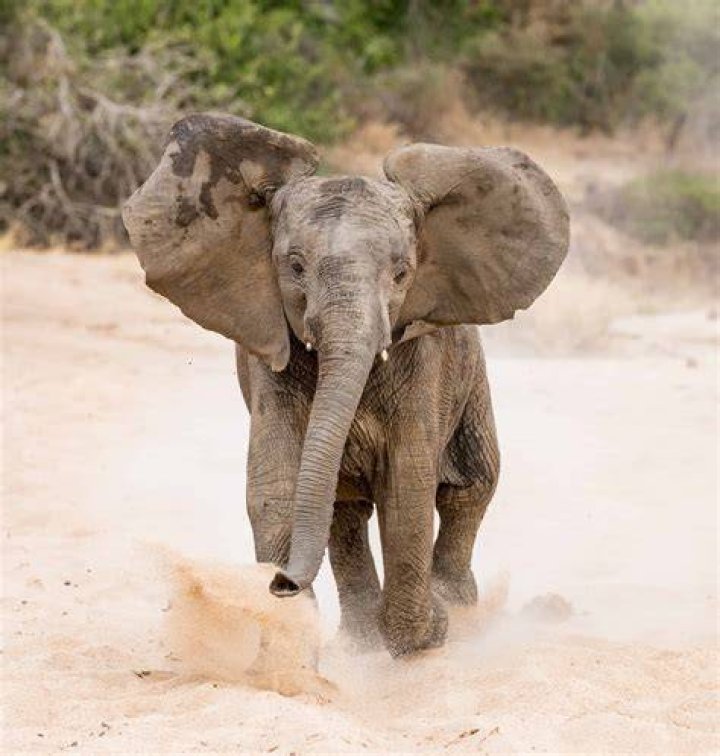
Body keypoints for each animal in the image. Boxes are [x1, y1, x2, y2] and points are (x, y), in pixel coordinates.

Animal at [123, 113, 569, 657]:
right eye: (295, 266)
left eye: (401, 273)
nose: (282, 583)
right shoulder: (271, 365)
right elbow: (277, 487)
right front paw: (292, 639)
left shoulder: (422, 362)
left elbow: (408, 487)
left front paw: (430, 630)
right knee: (345, 511)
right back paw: (363, 638)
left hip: (471, 380)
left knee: (470, 484)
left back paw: (460, 613)